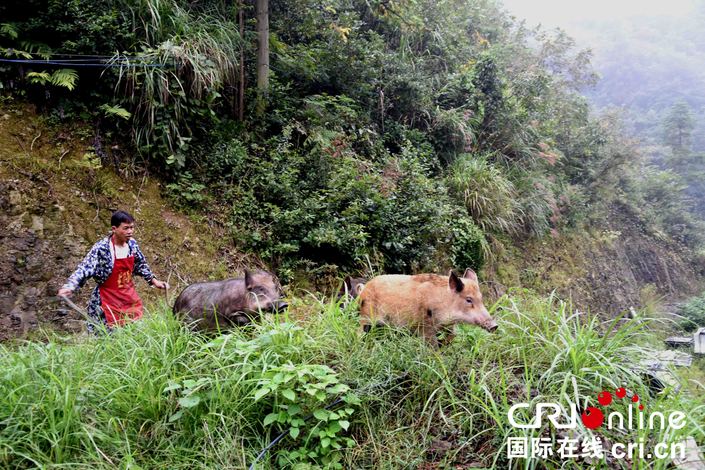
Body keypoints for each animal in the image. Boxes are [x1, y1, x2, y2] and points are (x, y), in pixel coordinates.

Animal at [360, 268, 498, 346]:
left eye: (481, 298)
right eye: (469, 299)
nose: (494, 326)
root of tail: (363, 288)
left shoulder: (448, 325)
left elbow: (453, 335)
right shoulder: (424, 325)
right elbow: (432, 344)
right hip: (366, 318)